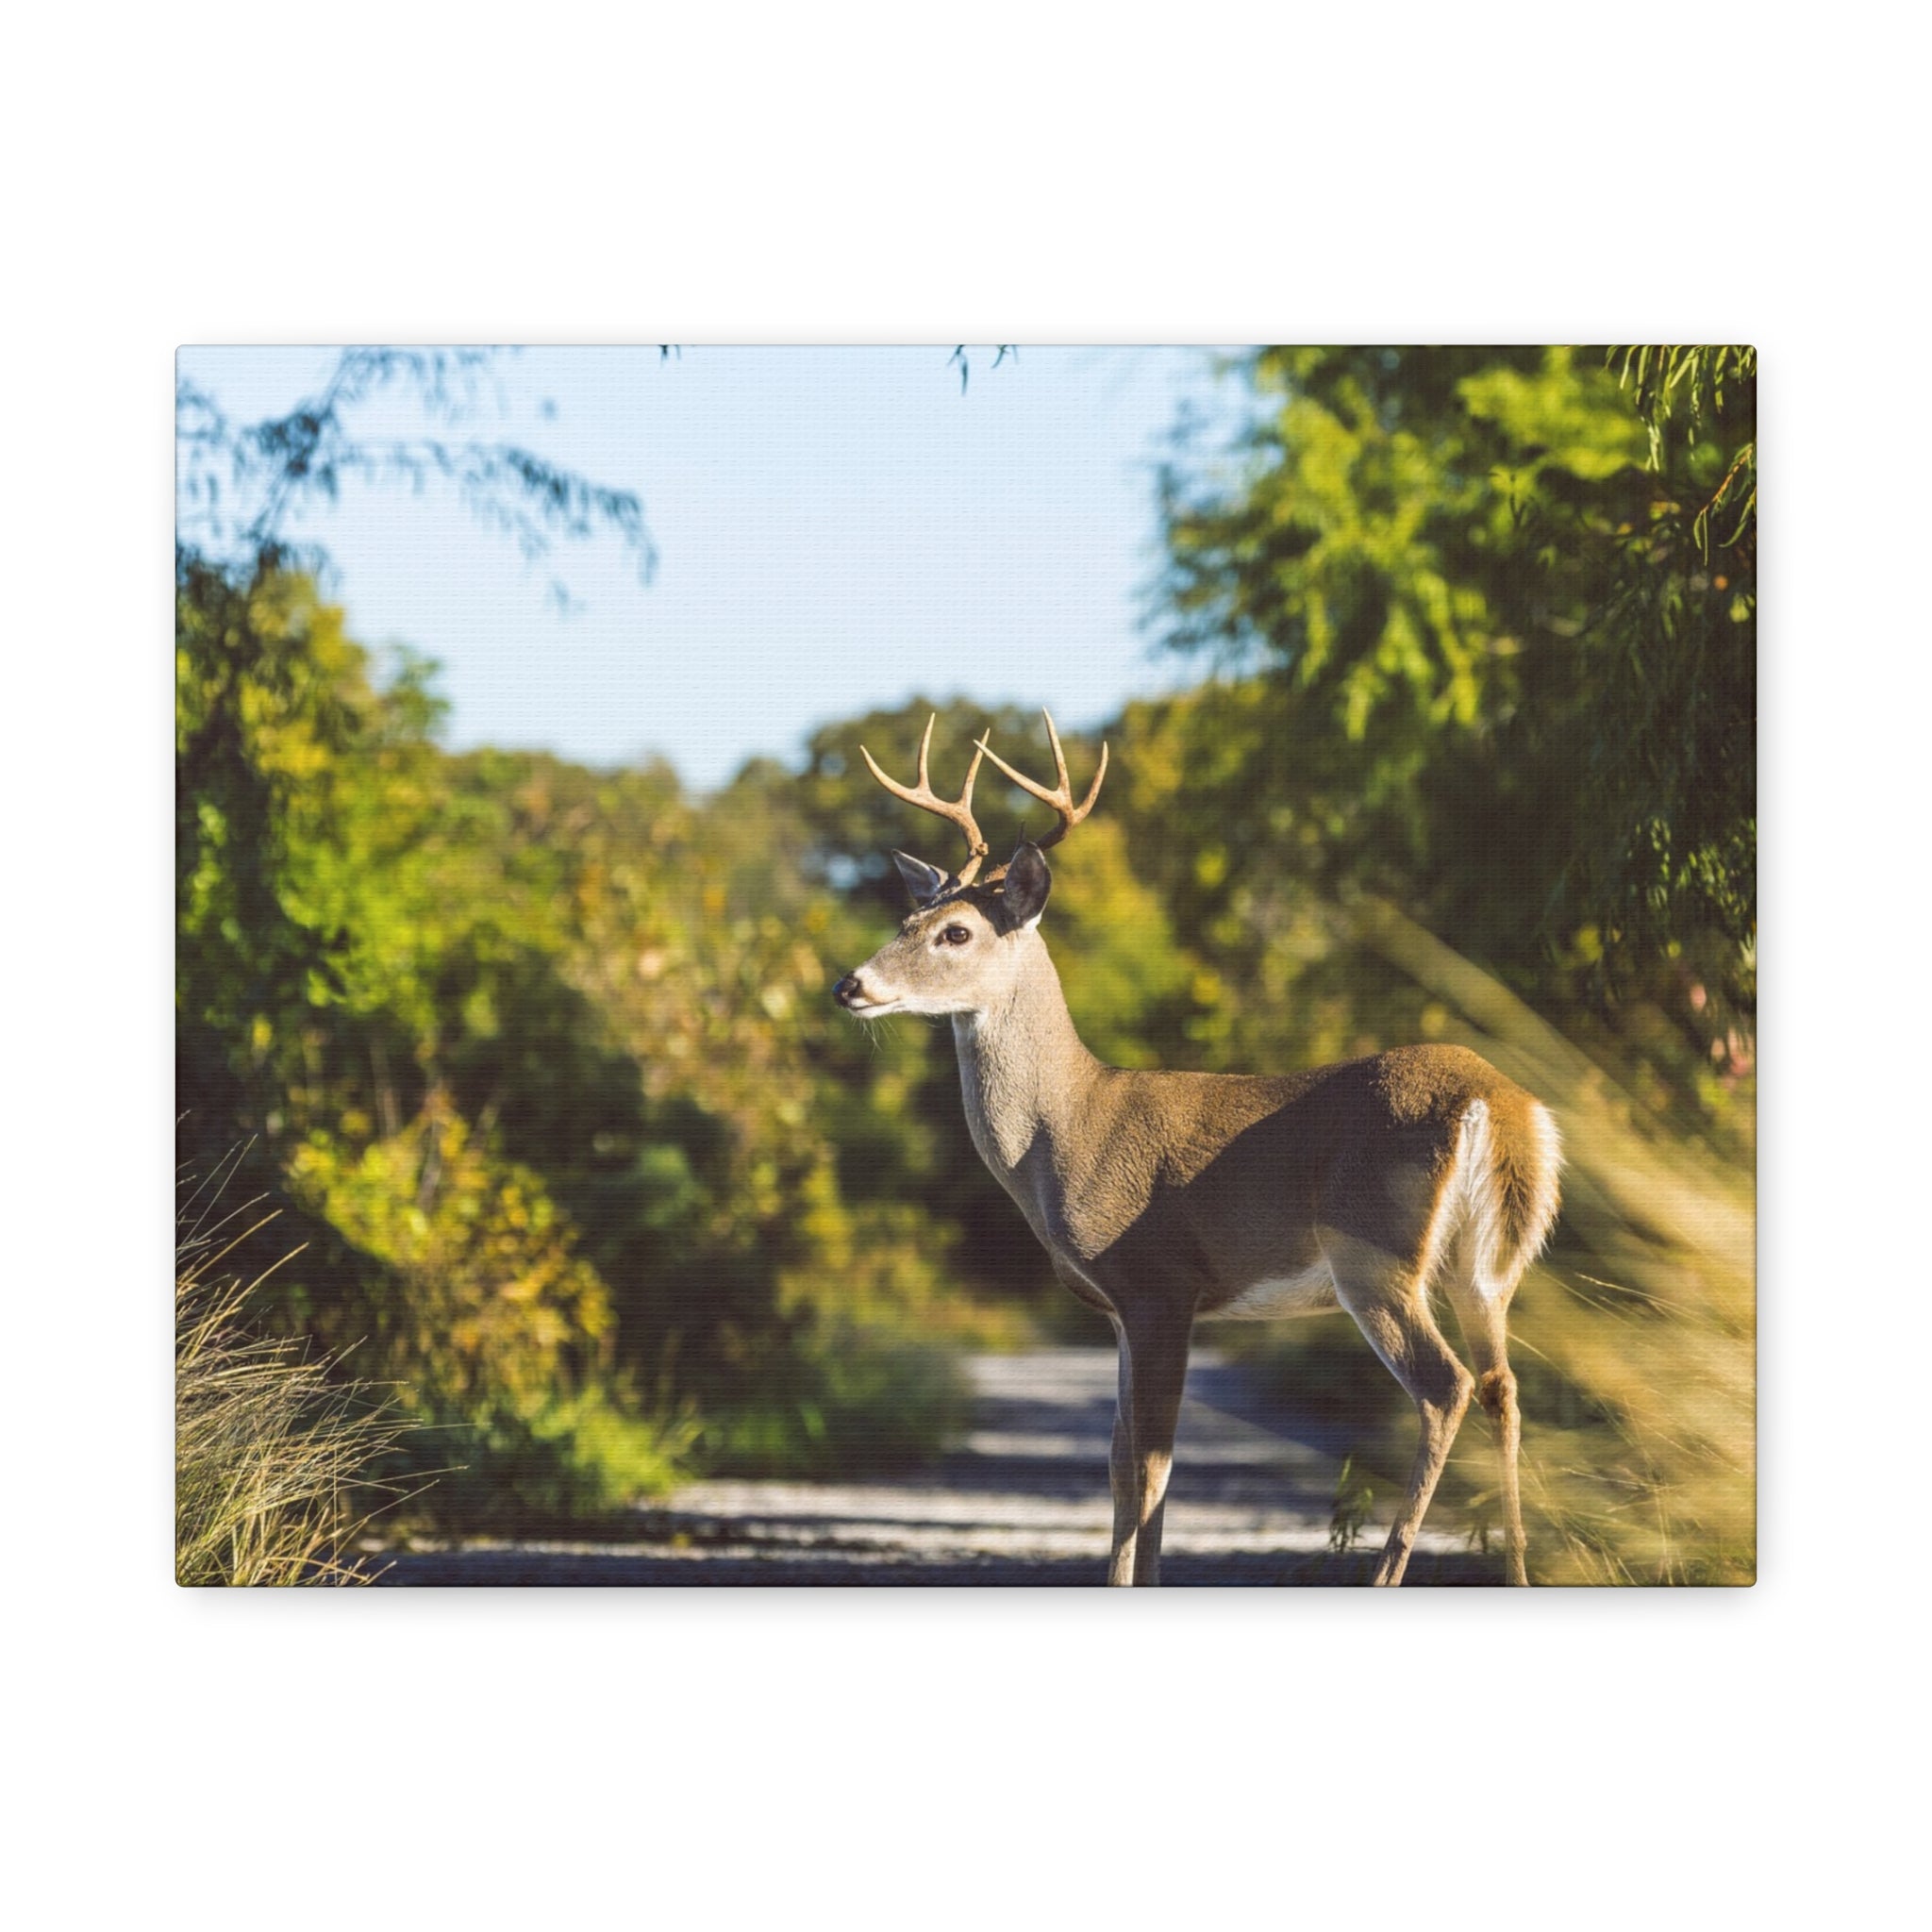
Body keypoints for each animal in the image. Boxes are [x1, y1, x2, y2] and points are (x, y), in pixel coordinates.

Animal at [832, 711, 1563, 1587]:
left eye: (956, 931)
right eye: (905, 921)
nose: (850, 985)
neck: (1064, 1128)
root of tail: (1502, 1104)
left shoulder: (1158, 1281)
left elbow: (1149, 1462)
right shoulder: (1122, 1309)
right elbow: (1122, 1459)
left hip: (1374, 1249)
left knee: (1443, 1386)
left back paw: (1386, 1573)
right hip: (1488, 1267)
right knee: (1502, 1388)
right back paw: (1517, 1569)